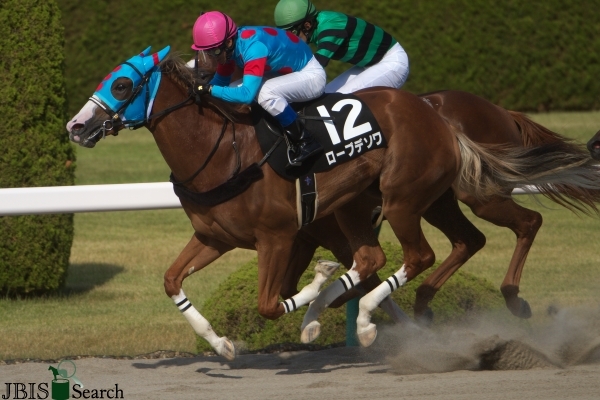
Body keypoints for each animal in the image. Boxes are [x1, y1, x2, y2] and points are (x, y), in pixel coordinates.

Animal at [66, 47, 594, 357]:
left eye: (121, 84)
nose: (76, 125)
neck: (223, 152)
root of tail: (438, 117)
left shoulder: (280, 236)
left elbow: (271, 302)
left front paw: (324, 302)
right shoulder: (216, 237)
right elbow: (173, 280)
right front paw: (222, 343)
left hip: (420, 197)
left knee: (448, 246)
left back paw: (500, 301)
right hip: (392, 203)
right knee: (434, 247)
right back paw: (418, 309)